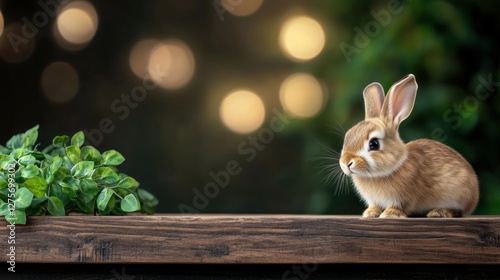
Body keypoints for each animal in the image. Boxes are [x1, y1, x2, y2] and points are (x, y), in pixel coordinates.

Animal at [338, 74, 478, 219]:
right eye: (347, 137)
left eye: (374, 144)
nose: (345, 163)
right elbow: (375, 206)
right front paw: (371, 213)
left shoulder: (404, 197)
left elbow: (400, 206)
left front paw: (390, 214)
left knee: (458, 211)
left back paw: (439, 212)